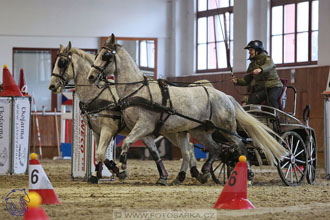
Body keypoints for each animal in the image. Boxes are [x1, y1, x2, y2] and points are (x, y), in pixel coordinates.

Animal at [48, 42, 199, 185]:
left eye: (62, 63)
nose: (52, 86)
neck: (97, 94)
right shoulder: (96, 131)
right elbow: (98, 154)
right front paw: (96, 175)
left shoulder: (108, 129)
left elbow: (100, 153)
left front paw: (118, 171)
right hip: (171, 130)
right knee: (190, 149)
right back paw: (193, 174)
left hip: (171, 130)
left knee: (188, 149)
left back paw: (190, 174)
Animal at [87, 34, 288, 179]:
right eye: (96, 55)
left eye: (105, 56)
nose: (90, 77)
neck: (137, 90)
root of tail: (225, 96)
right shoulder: (145, 131)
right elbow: (152, 152)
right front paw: (161, 176)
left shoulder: (144, 125)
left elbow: (127, 143)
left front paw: (122, 170)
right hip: (201, 131)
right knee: (217, 149)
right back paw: (204, 172)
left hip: (227, 128)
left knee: (240, 146)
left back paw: (249, 174)